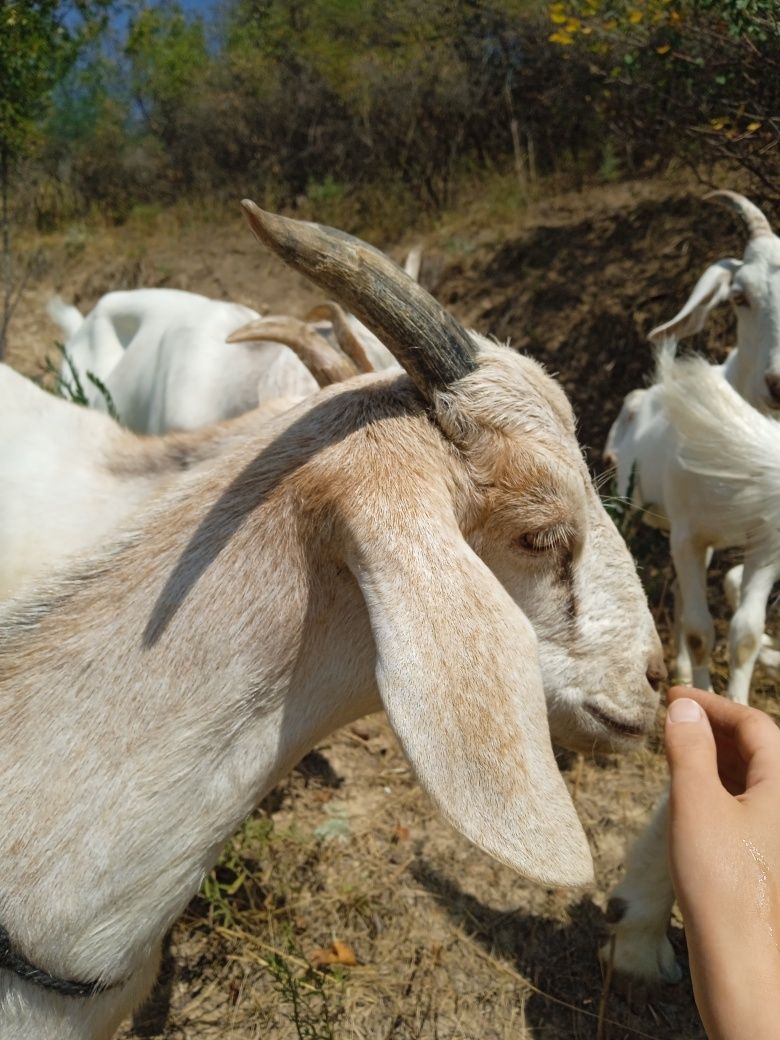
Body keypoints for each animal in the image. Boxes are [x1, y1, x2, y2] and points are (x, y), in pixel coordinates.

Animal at [607, 191, 780, 703]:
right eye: (740, 297)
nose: (779, 383)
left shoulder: (767, 540)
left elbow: (745, 634)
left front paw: (737, 703)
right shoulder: (688, 532)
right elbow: (702, 630)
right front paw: (699, 696)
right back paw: (683, 673)